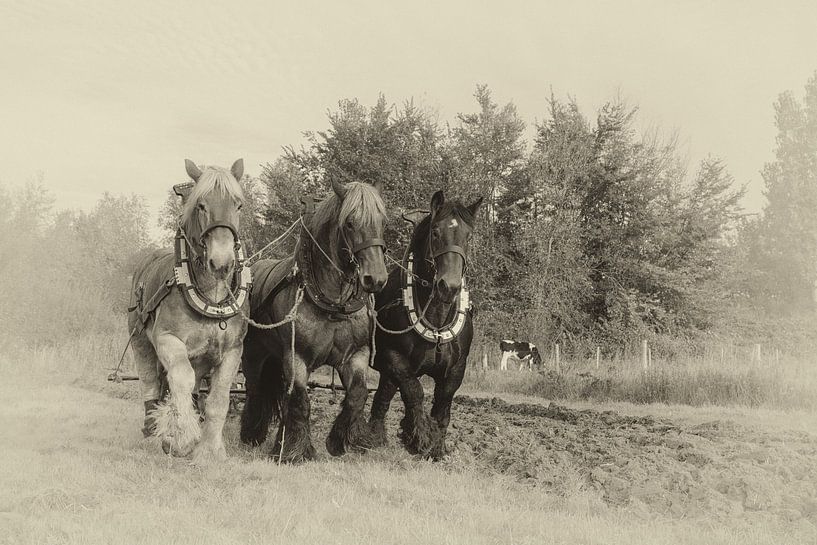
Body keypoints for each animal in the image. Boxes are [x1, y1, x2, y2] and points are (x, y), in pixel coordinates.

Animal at [127, 159, 249, 464]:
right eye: (201, 205)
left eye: (238, 205)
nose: (222, 262)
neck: (211, 296)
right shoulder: (167, 340)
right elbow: (180, 380)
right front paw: (181, 438)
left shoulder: (233, 351)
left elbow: (218, 399)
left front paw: (211, 450)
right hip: (139, 338)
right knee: (151, 381)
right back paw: (152, 428)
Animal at [240, 179, 388, 462]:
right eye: (350, 222)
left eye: (382, 221)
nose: (376, 278)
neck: (334, 305)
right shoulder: (296, 357)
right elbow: (300, 401)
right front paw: (296, 450)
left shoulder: (357, 354)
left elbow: (358, 394)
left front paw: (340, 441)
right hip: (253, 356)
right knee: (256, 391)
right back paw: (252, 434)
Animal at [368, 190, 482, 459]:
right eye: (435, 232)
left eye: (469, 236)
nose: (449, 287)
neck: (437, 318)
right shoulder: (395, 358)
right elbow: (415, 393)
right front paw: (419, 437)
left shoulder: (456, 370)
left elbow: (442, 406)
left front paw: (437, 448)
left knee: (383, 397)